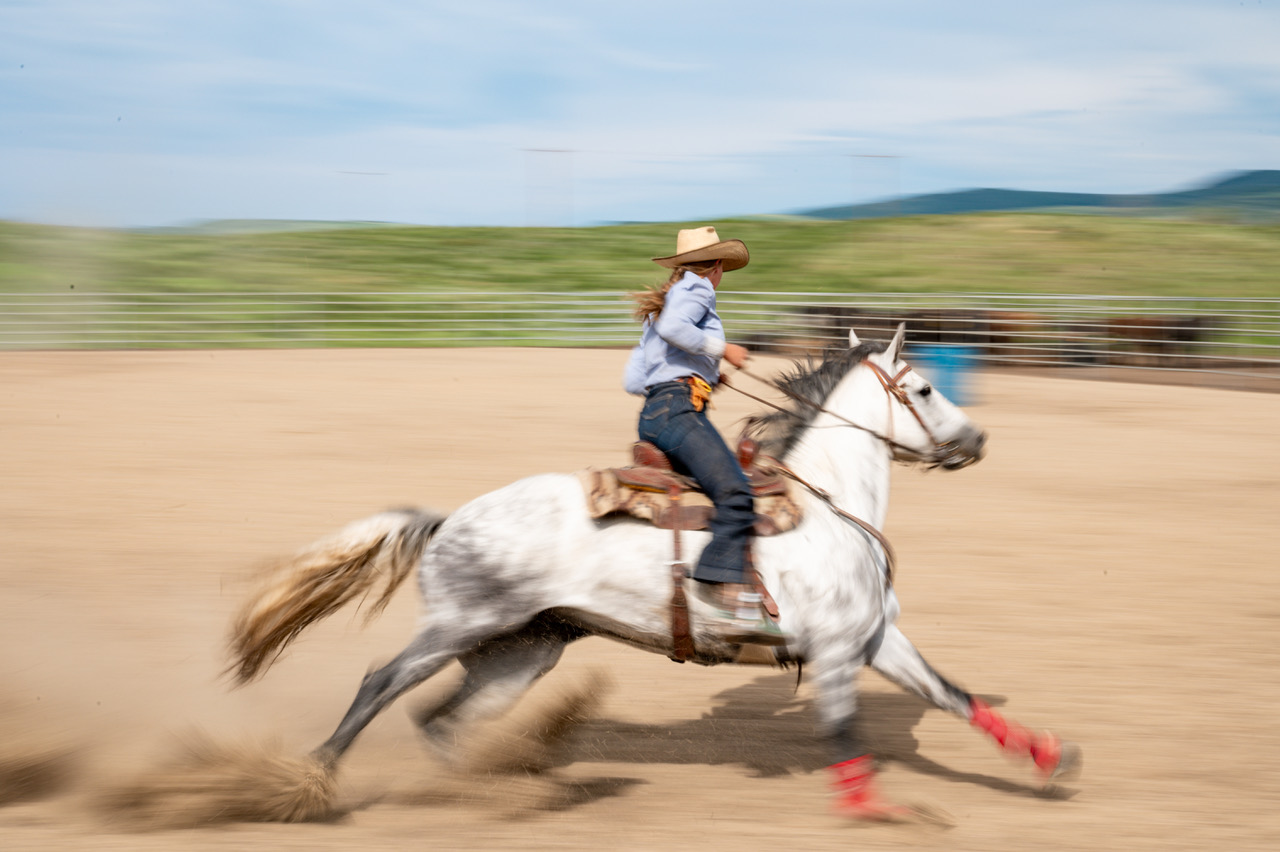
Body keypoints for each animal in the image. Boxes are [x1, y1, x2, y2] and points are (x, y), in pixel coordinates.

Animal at [228, 324, 1079, 821]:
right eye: (927, 388)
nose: (978, 440)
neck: (832, 507)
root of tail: (451, 517)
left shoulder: (877, 641)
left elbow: (955, 696)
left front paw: (1046, 756)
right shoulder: (839, 653)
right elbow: (845, 732)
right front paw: (882, 812)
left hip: (521, 652)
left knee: (441, 719)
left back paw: (493, 789)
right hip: (456, 626)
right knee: (382, 684)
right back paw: (311, 783)